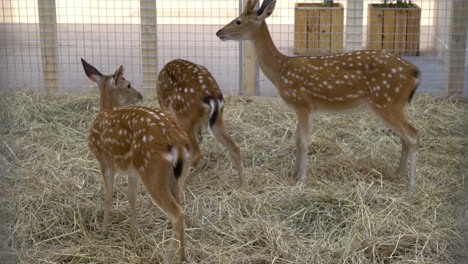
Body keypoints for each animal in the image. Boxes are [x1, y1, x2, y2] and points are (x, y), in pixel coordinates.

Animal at [81, 57, 189, 260]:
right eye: (129, 84)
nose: (140, 95)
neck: (105, 111)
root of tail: (177, 140)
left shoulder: (104, 161)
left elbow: (108, 196)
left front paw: (104, 231)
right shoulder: (133, 172)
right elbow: (132, 199)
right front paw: (134, 233)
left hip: (152, 170)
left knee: (177, 213)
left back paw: (168, 257)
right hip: (176, 175)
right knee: (182, 206)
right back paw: (183, 255)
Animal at [157, 59, 245, 188]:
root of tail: (212, 97)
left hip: (184, 116)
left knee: (197, 152)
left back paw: (183, 183)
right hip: (216, 119)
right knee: (234, 146)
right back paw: (242, 183)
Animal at [218, 0, 420, 191]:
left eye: (238, 21)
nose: (219, 32)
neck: (280, 70)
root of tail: (415, 73)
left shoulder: (303, 104)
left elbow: (304, 141)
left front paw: (303, 179)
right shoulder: (299, 108)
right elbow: (297, 139)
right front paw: (294, 173)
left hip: (387, 102)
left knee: (412, 135)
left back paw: (411, 186)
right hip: (393, 104)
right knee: (407, 135)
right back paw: (397, 172)